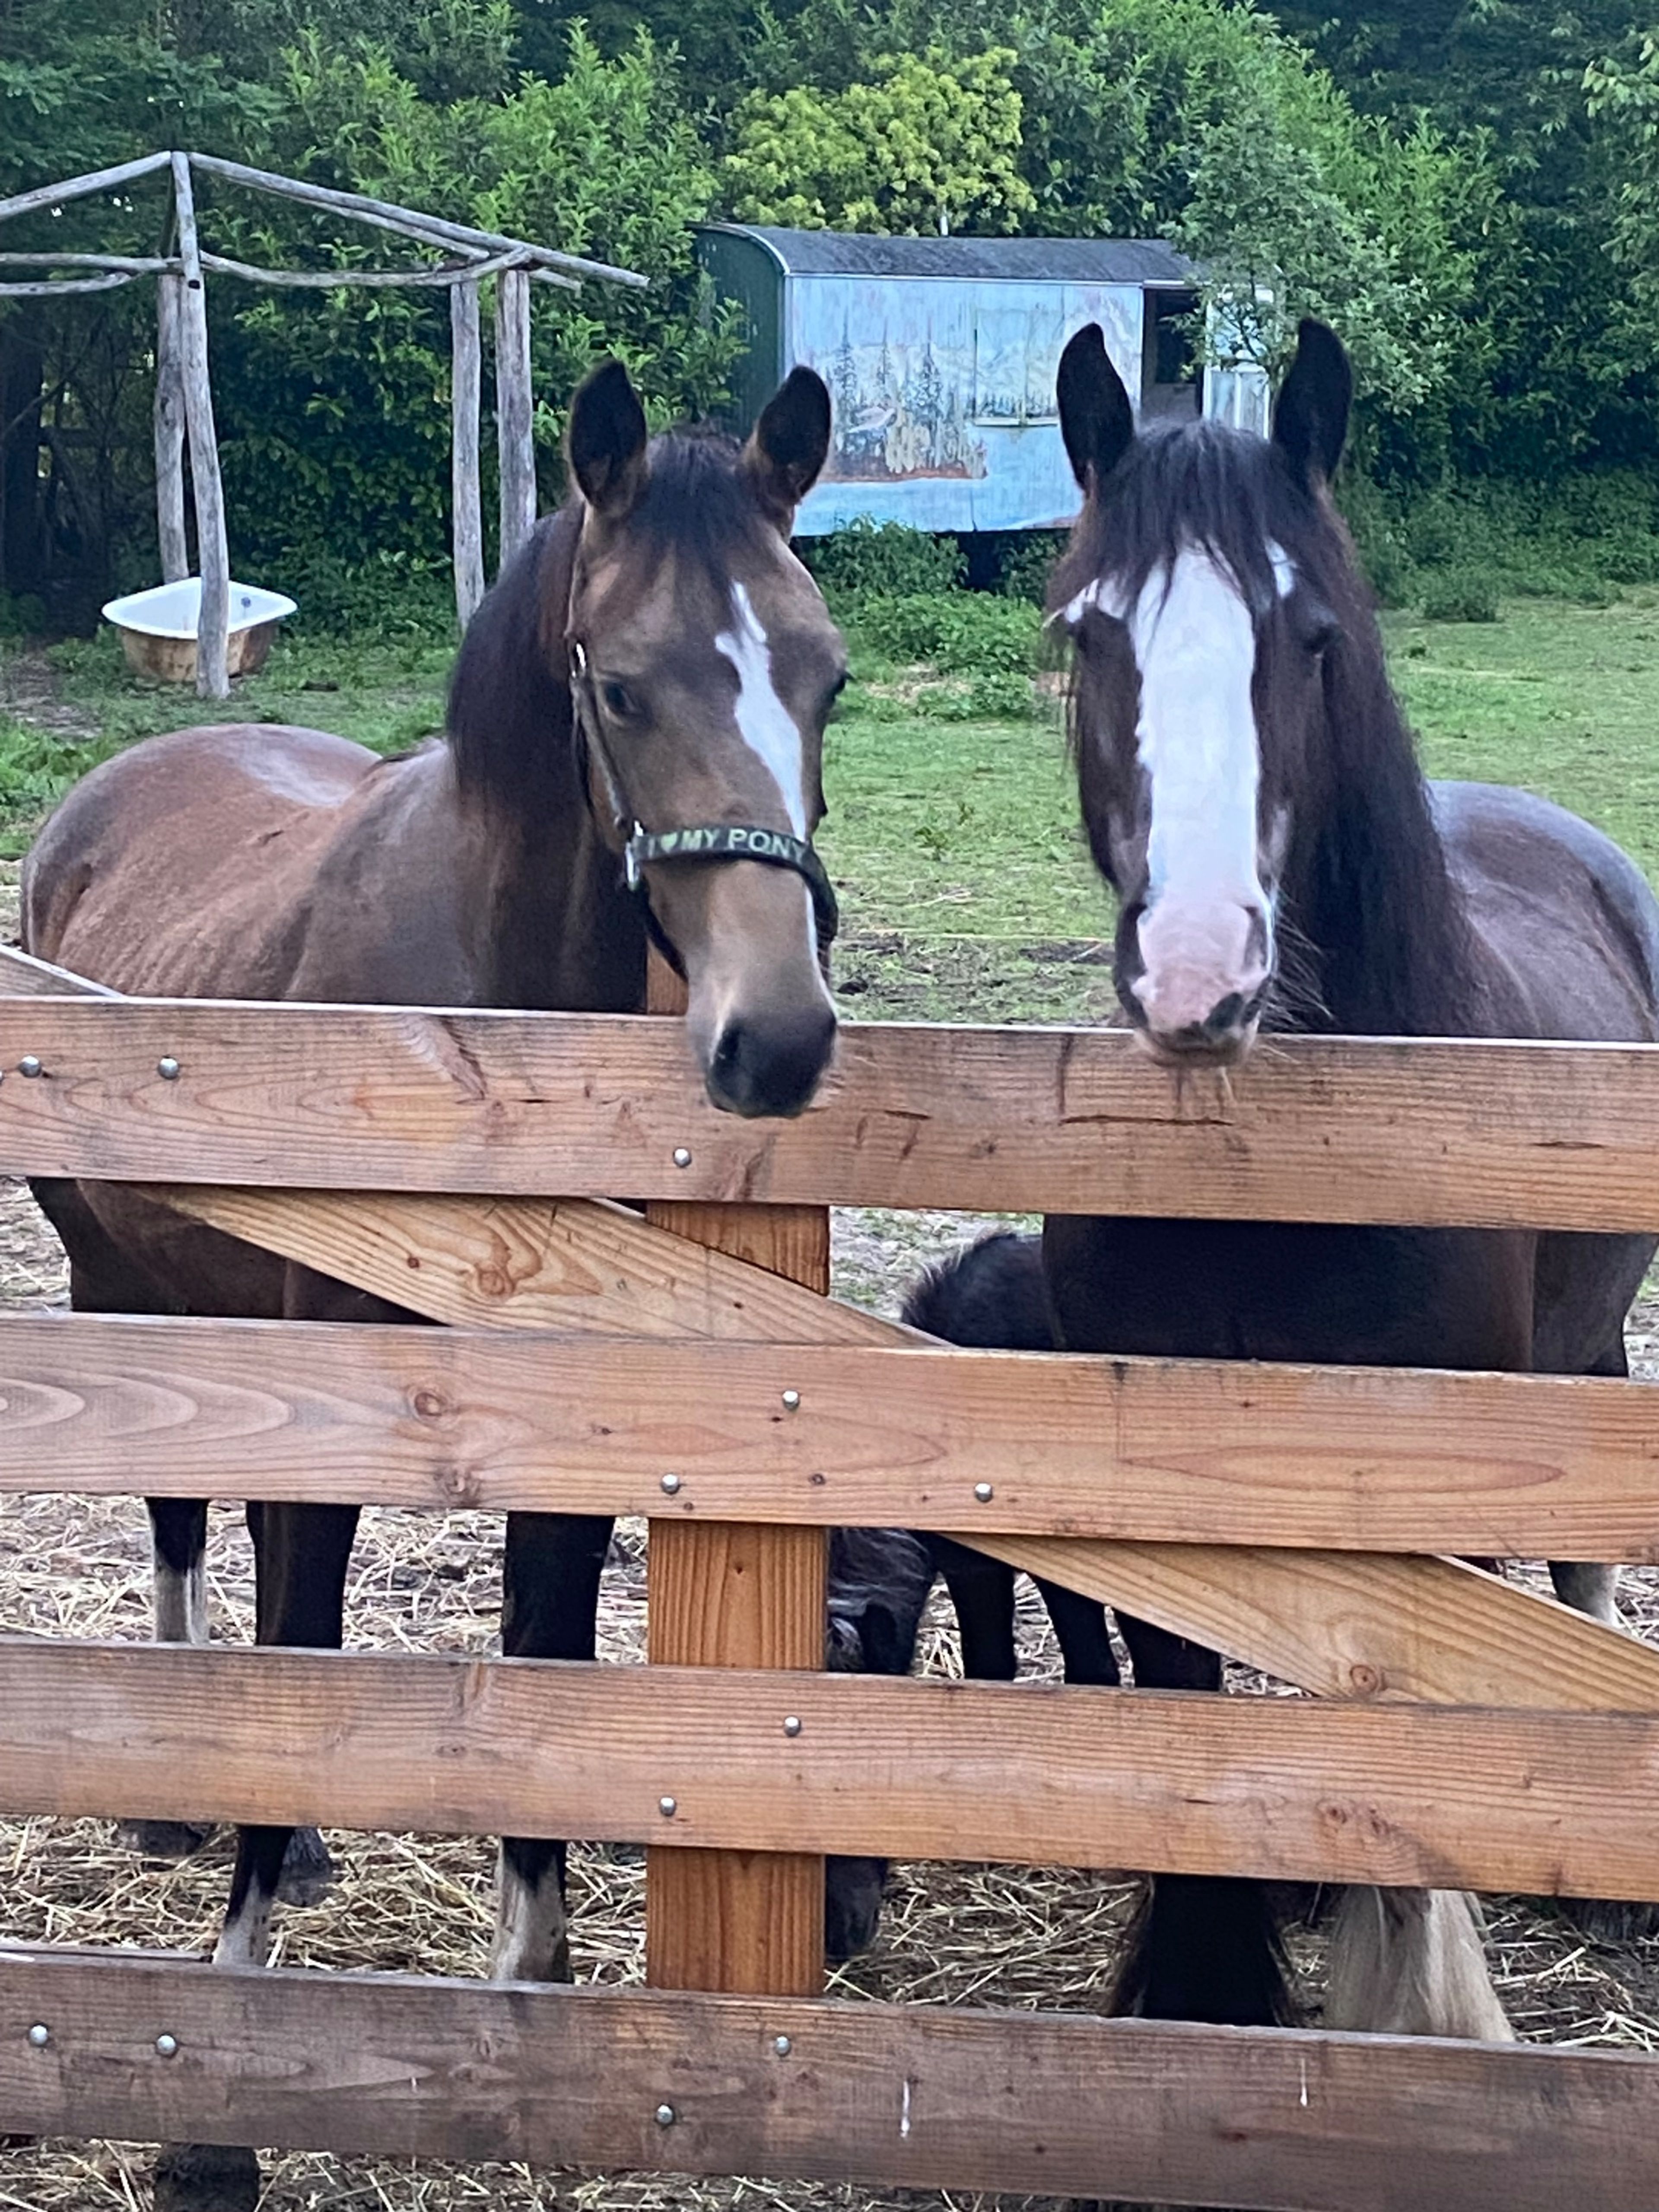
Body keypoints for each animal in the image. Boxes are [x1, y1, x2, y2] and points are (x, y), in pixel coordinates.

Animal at [20, 356, 925, 2209]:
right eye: (627, 684)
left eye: (828, 677)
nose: (779, 1038)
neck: (476, 1048)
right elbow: (297, 1634)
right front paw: (223, 2095)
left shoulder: (566, 1432)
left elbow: (544, 1653)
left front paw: (533, 1993)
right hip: (114, 1283)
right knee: (179, 1516)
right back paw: (172, 1794)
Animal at [907, 316, 1659, 2047]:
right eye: (1088, 631)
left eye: (1308, 634)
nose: (1198, 971)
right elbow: (1194, 1692)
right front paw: (1209, 1975)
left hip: (1582, 1355)